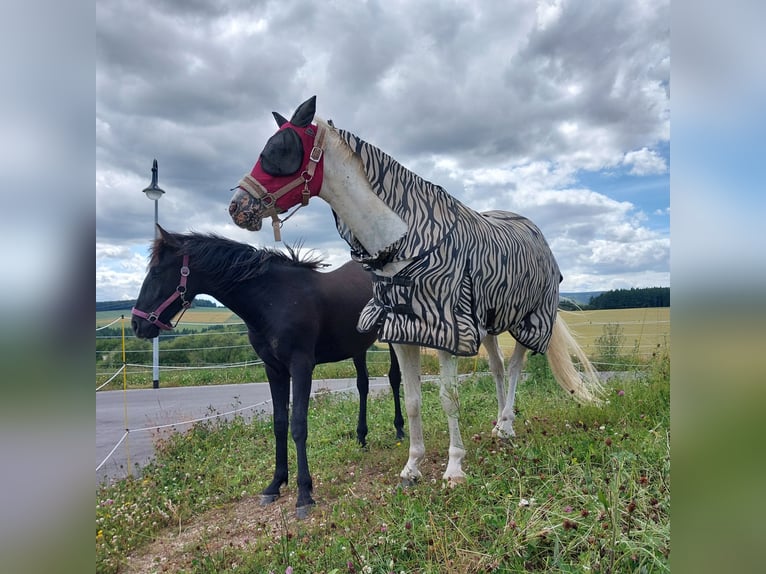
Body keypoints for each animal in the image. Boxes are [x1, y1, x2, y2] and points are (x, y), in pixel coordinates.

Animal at [132, 227, 408, 520]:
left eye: (157, 272)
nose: (137, 324)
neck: (272, 300)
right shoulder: (274, 369)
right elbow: (279, 424)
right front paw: (275, 484)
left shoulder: (301, 366)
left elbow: (298, 425)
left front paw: (304, 494)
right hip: (357, 346)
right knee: (363, 385)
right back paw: (361, 437)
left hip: (392, 338)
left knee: (393, 378)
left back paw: (400, 430)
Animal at [228, 97, 600, 488]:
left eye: (281, 150)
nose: (238, 207)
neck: (404, 245)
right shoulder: (403, 332)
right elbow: (412, 401)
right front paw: (412, 466)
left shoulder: (449, 332)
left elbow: (449, 398)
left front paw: (454, 468)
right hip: (490, 322)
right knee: (498, 368)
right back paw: (499, 425)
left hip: (528, 319)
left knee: (514, 368)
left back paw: (508, 425)